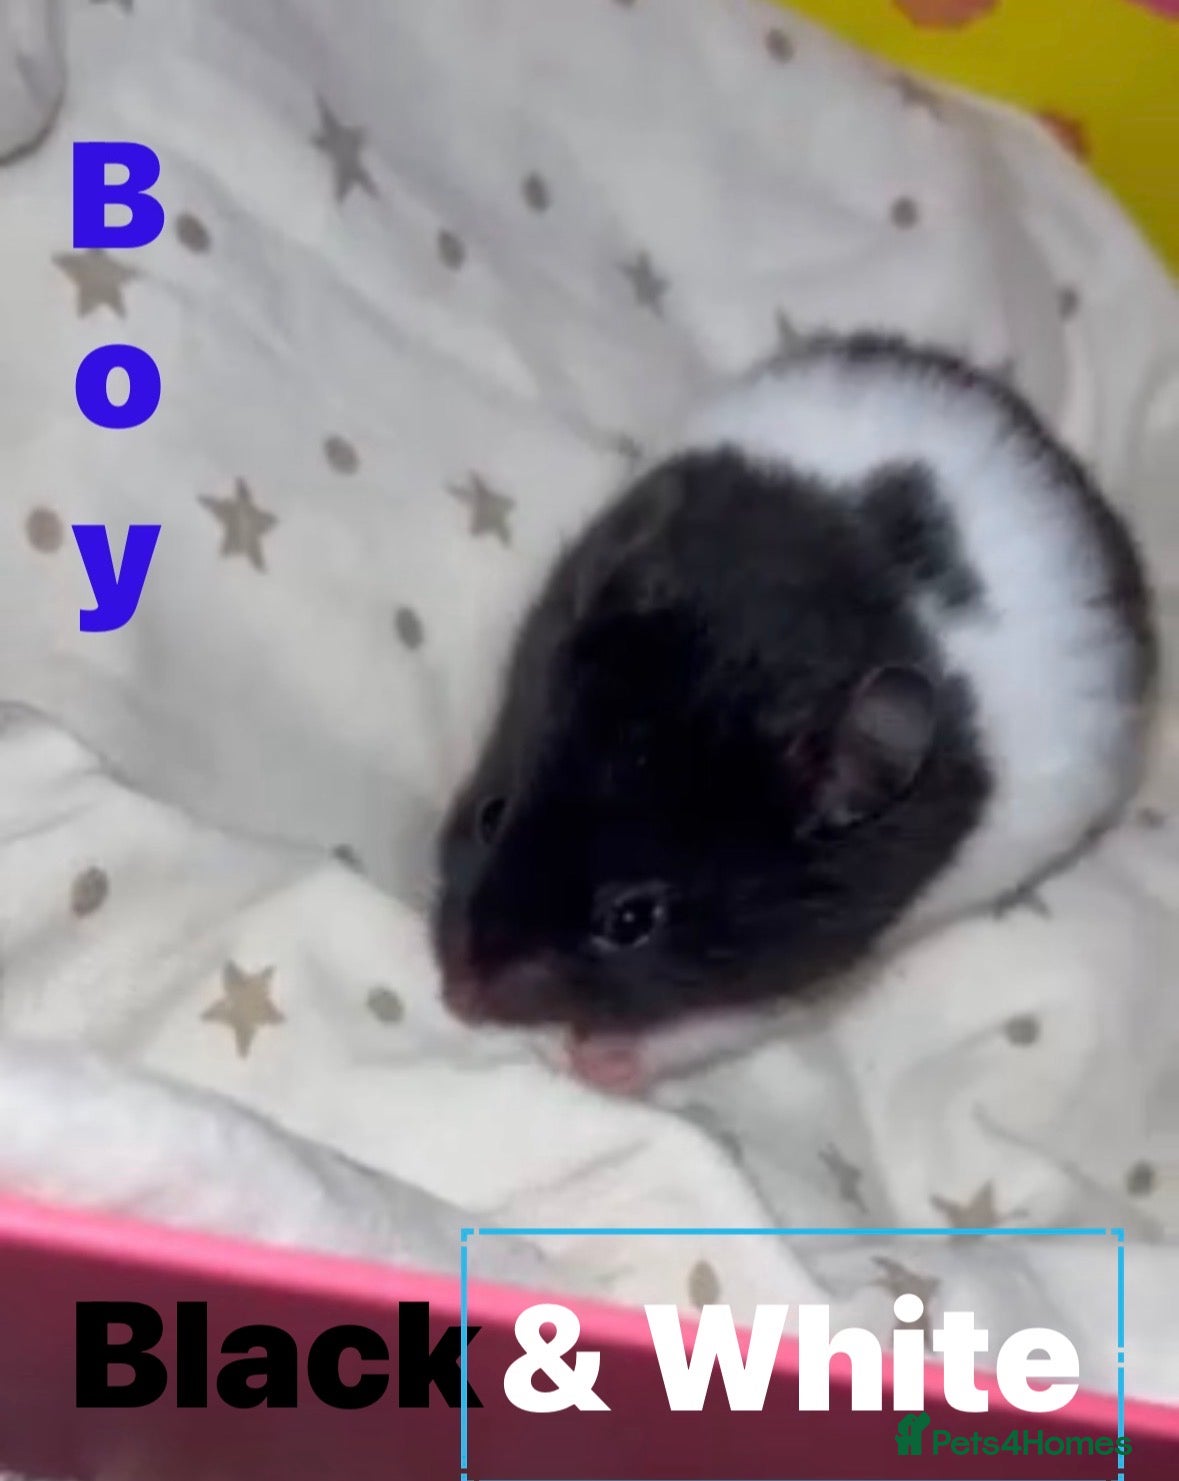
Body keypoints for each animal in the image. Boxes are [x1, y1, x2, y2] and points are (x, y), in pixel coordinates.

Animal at [432, 333, 1156, 1092]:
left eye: (631, 920)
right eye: (490, 815)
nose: (457, 998)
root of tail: (1073, 485)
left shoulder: (826, 959)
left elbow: (726, 1020)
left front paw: (595, 1061)